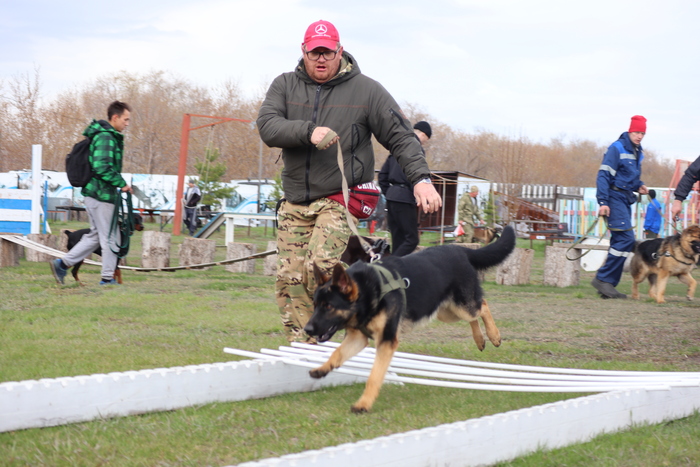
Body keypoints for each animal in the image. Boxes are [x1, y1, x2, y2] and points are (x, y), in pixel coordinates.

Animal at [304, 226, 516, 413]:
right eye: (315, 305)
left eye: (328, 307)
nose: (307, 329)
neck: (367, 292)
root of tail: (460, 250)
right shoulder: (358, 338)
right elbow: (337, 353)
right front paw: (322, 369)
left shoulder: (386, 341)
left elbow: (374, 376)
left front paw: (363, 404)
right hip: (446, 311)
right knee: (475, 315)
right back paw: (479, 340)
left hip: (462, 307)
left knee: (483, 306)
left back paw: (494, 336)